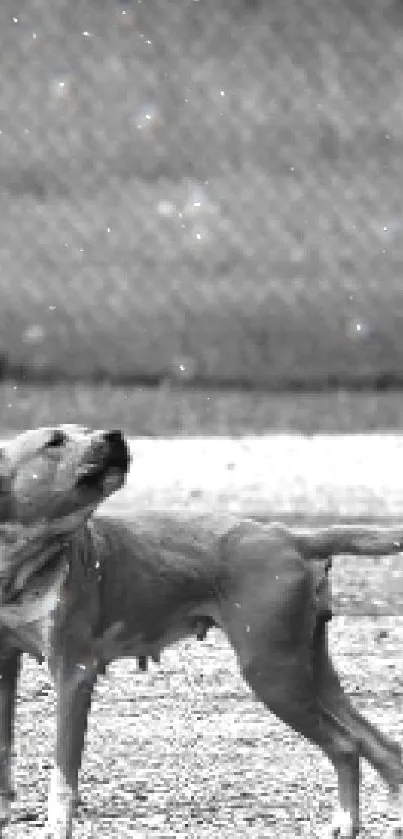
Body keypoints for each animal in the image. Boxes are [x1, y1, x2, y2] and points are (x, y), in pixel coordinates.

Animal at [0, 430, 403, 836]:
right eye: (55, 441)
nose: (115, 435)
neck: (24, 564)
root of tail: (287, 536)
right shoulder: (6, 664)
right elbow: (5, 747)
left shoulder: (74, 674)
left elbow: (63, 774)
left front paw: (56, 827)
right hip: (311, 672)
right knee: (382, 748)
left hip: (274, 675)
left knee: (347, 745)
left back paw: (346, 822)